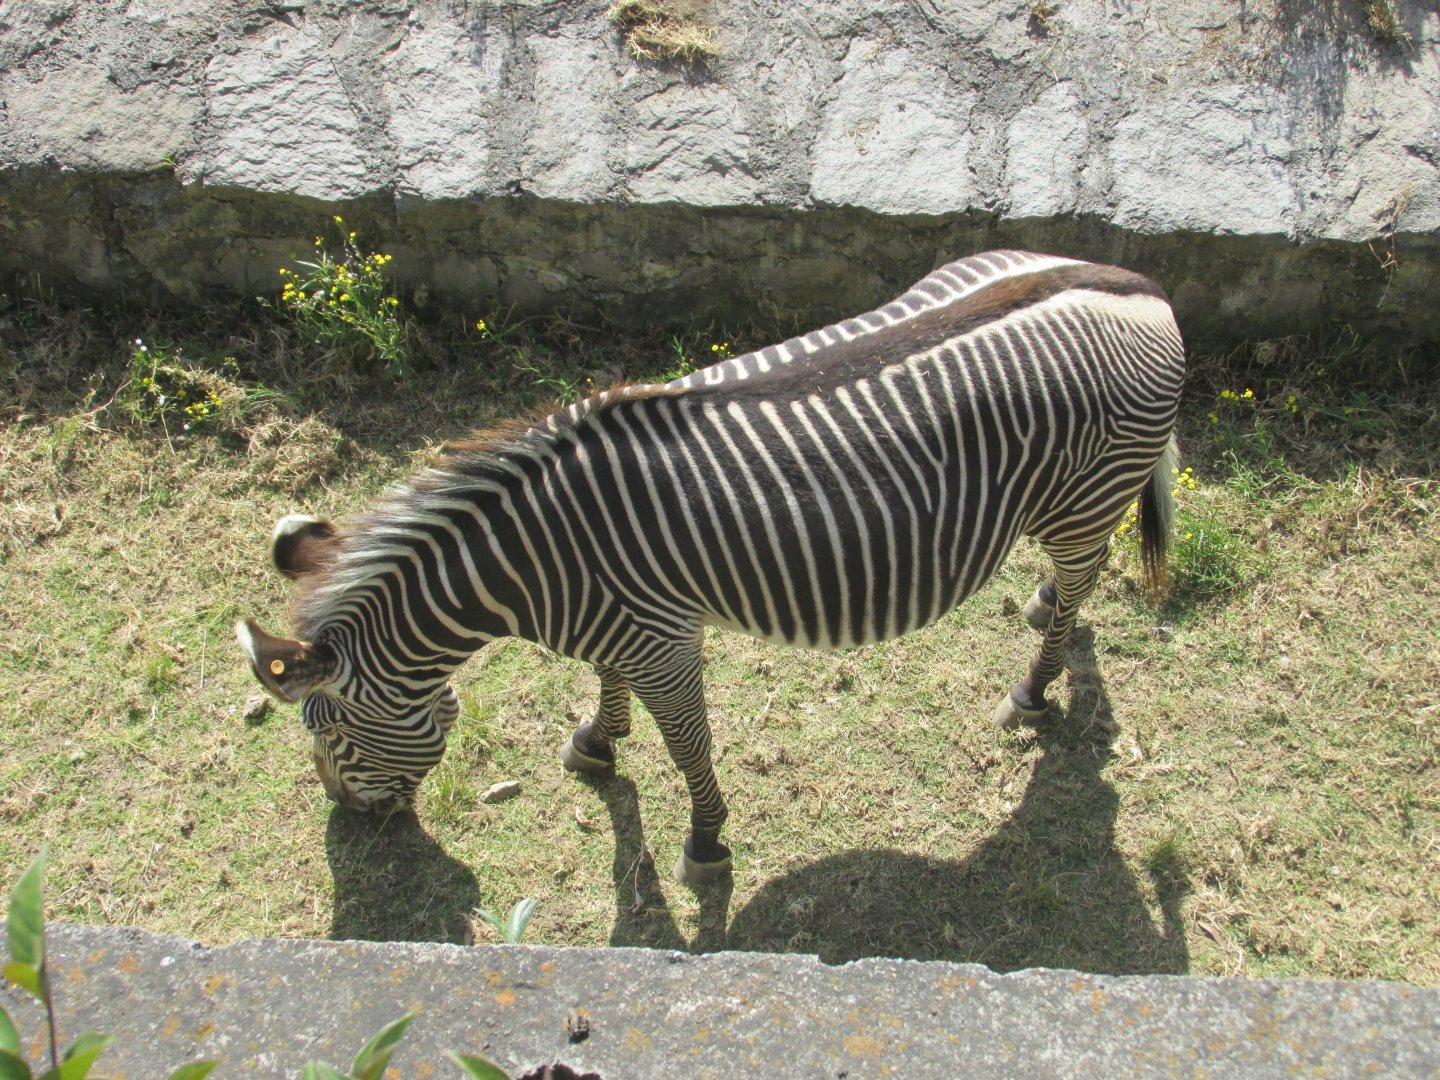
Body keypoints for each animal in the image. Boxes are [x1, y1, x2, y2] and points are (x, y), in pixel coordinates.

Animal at [237, 250, 1185, 887]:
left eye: (326, 730)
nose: (351, 821)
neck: (537, 562)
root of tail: (1144, 285)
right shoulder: (623, 625)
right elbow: (609, 687)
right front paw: (598, 740)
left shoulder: (662, 639)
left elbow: (687, 743)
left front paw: (704, 840)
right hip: (1072, 488)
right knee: (1081, 574)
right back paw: (1043, 605)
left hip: (1087, 490)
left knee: (1087, 572)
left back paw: (1034, 687)